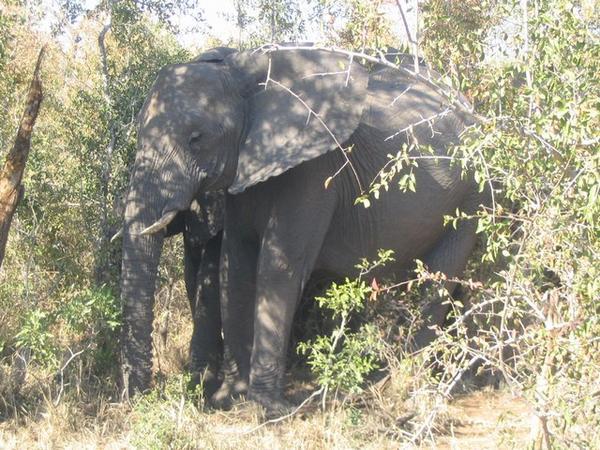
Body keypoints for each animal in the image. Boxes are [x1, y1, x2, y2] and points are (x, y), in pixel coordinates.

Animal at [119, 44, 490, 414]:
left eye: (196, 138)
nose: (139, 397)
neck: (249, 71)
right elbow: (233, 265)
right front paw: (230, 398)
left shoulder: (314, 170)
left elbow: (278, 267)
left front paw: (267, 410)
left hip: (473, 197)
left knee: (440, 277)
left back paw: (403, 383)